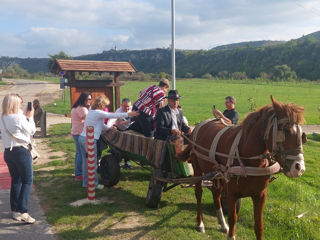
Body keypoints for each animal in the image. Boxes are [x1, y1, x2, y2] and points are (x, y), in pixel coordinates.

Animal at [176, 96, 306, 240]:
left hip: (217, 175)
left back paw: (222, 224)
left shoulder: (260, 195)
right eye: (286, 131)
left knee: (216, 194)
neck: (249, 160)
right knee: (199, 194)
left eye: (302, 135)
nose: (299, 168)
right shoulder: (232, 193)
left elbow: (259, 226)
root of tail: (199, 126)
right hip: (198, 168)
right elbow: (233, 219)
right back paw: (200, 223)